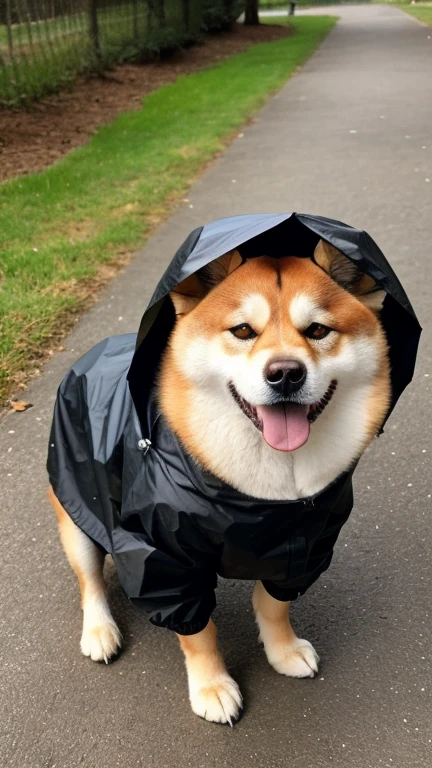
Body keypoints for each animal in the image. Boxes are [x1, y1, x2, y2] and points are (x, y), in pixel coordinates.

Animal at [48, 237, 392, 724]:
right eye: (243, 330)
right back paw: (99, 630)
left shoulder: (307, 545)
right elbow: (197, 632)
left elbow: (274, 605)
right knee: (90, 580)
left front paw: (282, 650)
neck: (272, 493)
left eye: (318, 330)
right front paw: (211, 685)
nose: (285, 373)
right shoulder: (166, 559)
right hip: (78, 509)